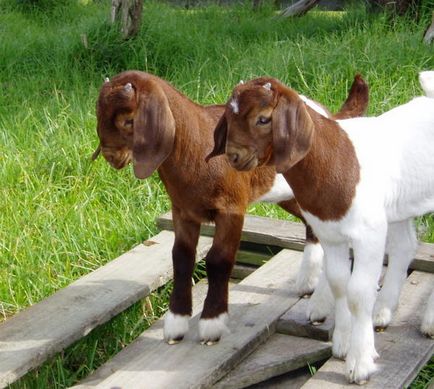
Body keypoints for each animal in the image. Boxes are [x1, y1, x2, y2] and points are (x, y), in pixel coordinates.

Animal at [93, 69, 368, 342]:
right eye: (99, 115)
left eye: (129, 121)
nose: (110, 156)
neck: (196, 147)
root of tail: (325, 114)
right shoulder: (183, 210)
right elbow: (181, 258)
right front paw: (176, 323)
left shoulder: (232, 209)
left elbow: (219, 259)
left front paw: (211, 324)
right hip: (290, 195)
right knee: (312, 228)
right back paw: (308, 282)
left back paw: (319, 302)